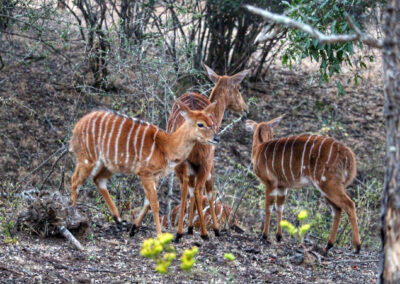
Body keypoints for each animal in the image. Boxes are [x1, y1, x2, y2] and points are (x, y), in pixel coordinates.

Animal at [69, 101, 219, 236]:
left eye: (211, 123)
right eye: (200, 124)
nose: (217, 138)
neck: (166, 147)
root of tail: (77, 126)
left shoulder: (155, 176)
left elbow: (147, 202)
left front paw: (134, 228)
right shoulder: (145, 173)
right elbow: (155, 204)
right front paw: (159, 235)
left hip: (108, 165)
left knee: (97, 179)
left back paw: (118, 219)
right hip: (88, 159)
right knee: (75, 180)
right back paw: (73, 213)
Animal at [245, 116, 360, 254]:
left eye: (273, 133)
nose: (272, 137)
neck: (259, 149)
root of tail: (348, 154)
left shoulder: (270, 183)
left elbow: (268, 207)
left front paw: (264, 236)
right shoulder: (282, 186)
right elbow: (280, 207)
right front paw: (279, 236)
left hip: (328, 183)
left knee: (349, 204)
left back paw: (357, 247)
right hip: (326, 188)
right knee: (337, 209)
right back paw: (328, 245)